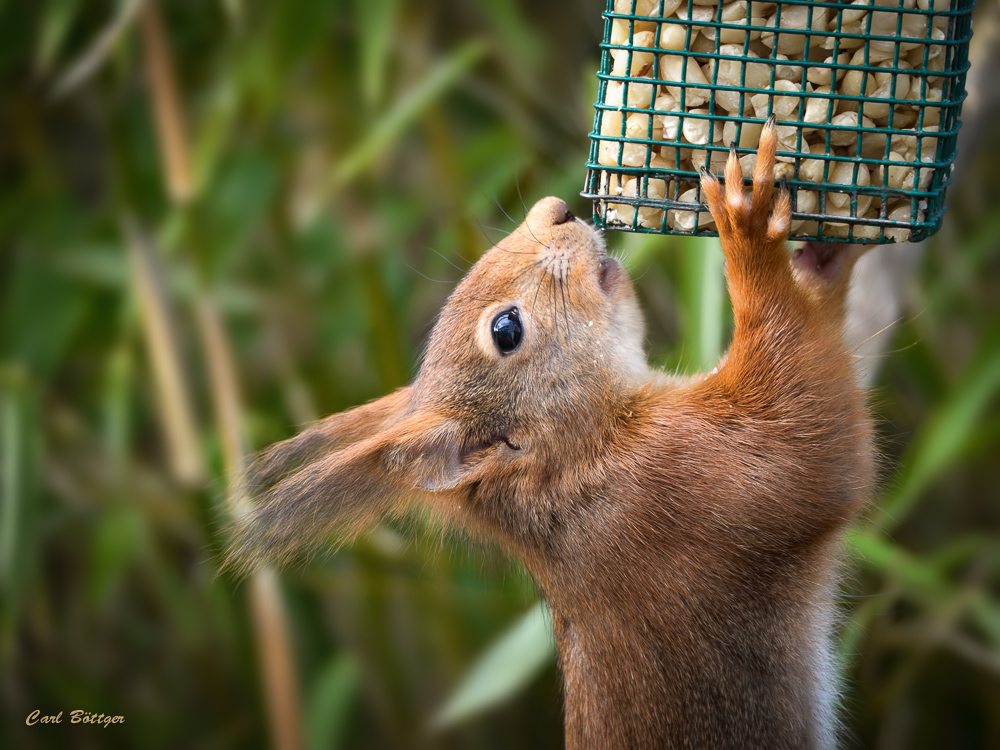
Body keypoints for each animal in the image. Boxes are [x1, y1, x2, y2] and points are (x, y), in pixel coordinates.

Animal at [229, 120, 876, 748]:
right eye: (506, 329)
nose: (557, 209)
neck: (578, 455)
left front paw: (824, 253)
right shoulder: (683, 484)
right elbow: (810, 429)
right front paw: (750, 232)